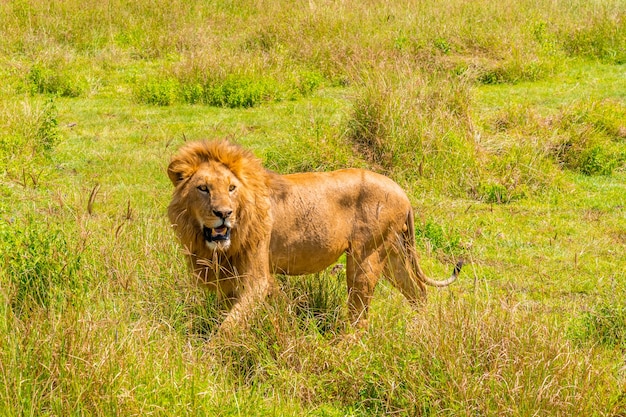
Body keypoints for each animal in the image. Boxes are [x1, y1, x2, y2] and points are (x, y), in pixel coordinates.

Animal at [166, 140, 458, 332]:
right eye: (203, 188)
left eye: (231, 188)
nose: (224, 213)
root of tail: (401, 191)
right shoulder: (231, 280)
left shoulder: (256, 278)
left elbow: (226, 329)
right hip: (393, 252)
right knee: (418, 291)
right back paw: (421, 328)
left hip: (365, 257)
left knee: (360, 316)